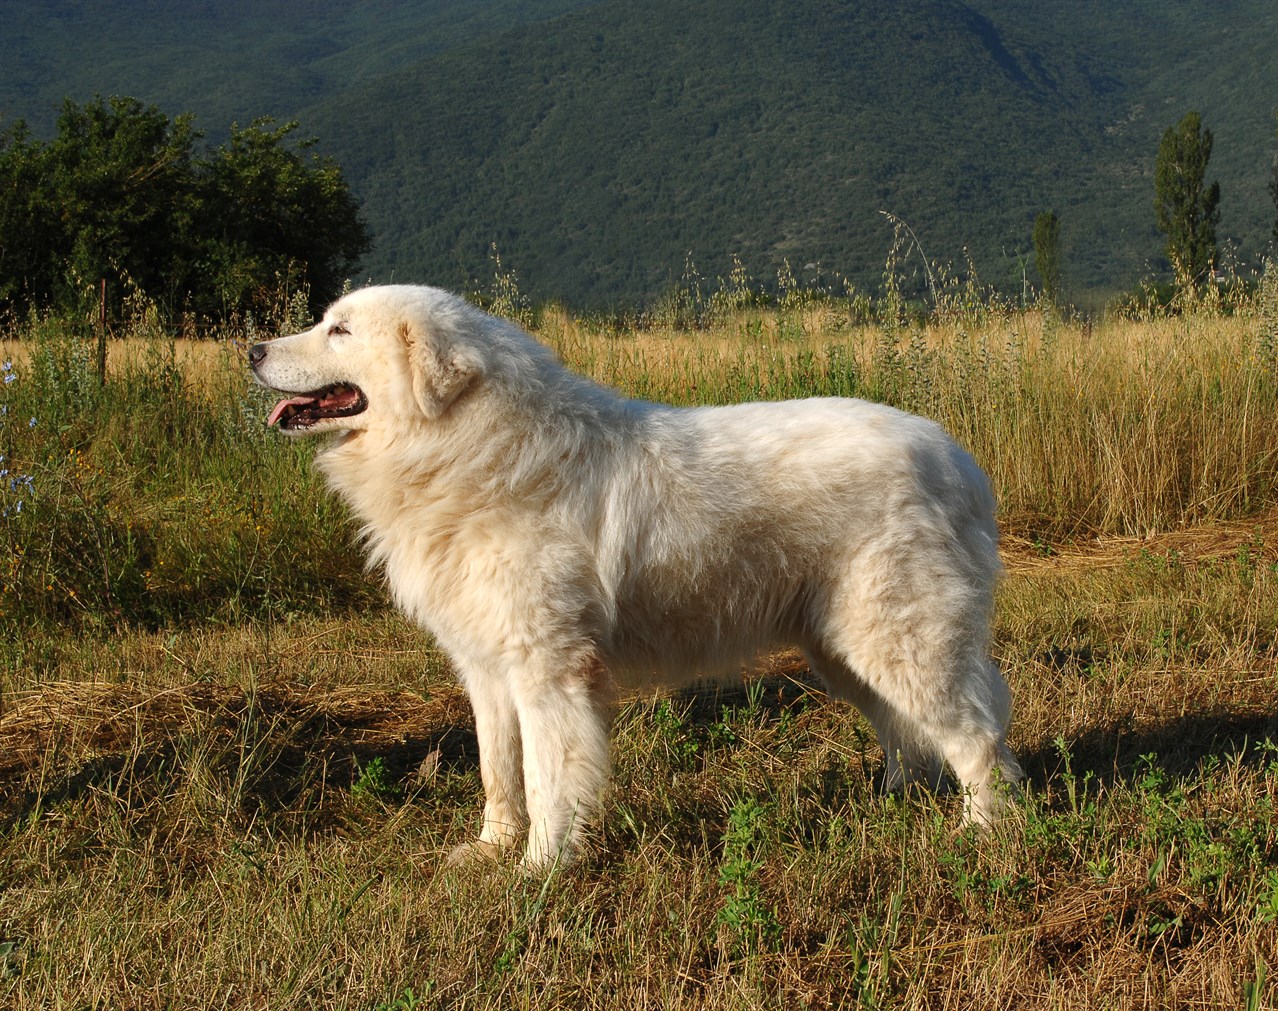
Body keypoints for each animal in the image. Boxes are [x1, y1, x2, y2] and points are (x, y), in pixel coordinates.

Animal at [249, 285, 1022, 869]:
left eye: (339, 329)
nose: (251, 350)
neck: (467, 451)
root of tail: (956, 457)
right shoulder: (487, 670)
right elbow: (500, 773)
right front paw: (490, 852)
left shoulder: (549, 671)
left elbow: (549, 778)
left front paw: (538, 871)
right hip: (842, 649)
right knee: (907, 732)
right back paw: (893, 804)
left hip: (898, 639)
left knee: (977, 735)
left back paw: (983, 831)